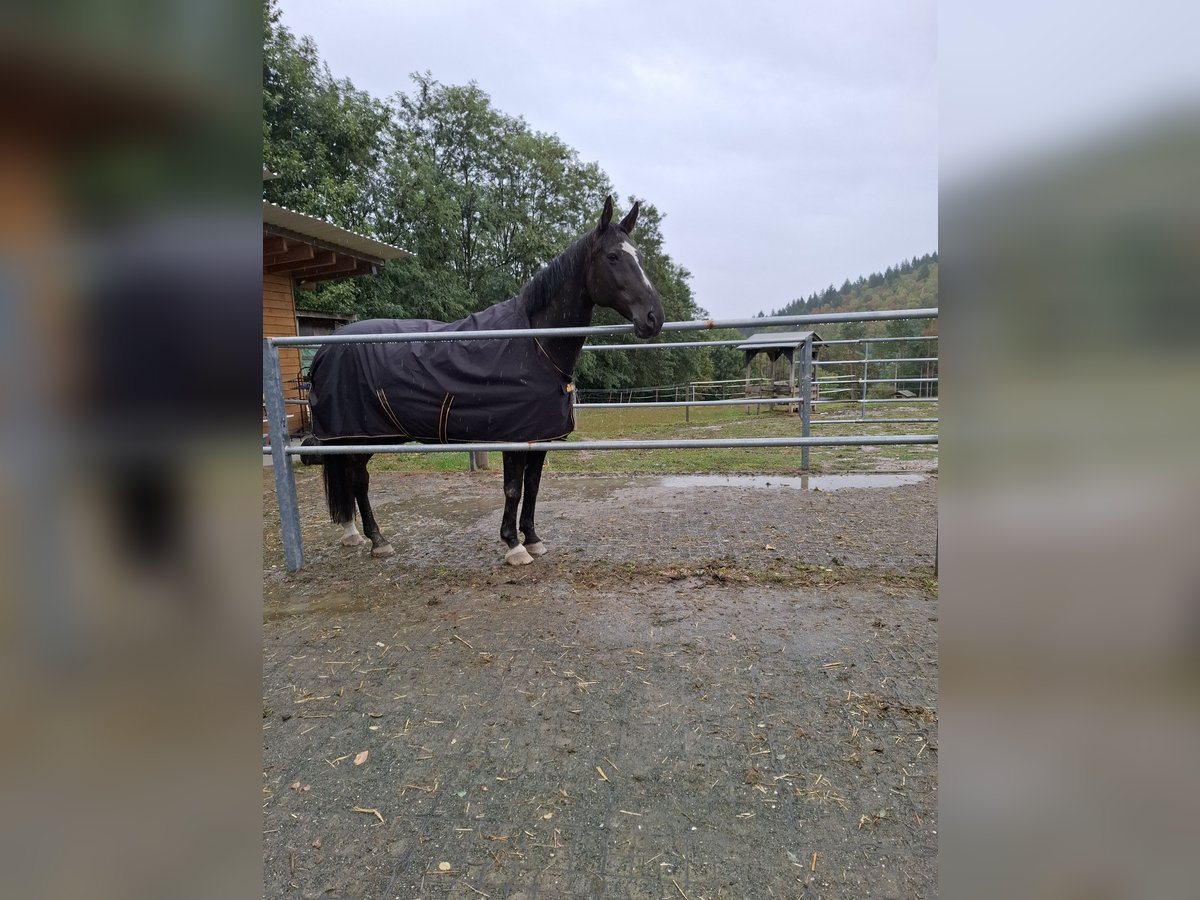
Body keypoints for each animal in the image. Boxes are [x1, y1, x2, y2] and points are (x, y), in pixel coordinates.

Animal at [304, 196, 667, 566]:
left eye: (639, 257)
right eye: (613, 256)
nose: (654, 318)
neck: (536, 344)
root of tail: (325, 349)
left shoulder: (540, 437)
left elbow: (532, 486)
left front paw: (533, 538)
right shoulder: (515, 437)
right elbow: (513, 488)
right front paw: (514, 546)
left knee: (352, 478)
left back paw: (354, 534)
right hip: (358, 435)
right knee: (358, 479)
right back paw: (377, 540)